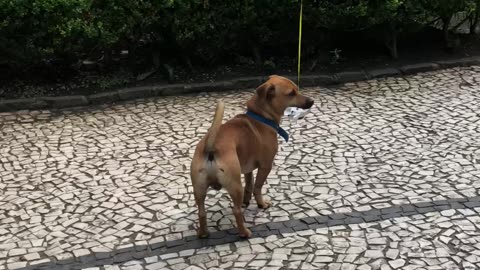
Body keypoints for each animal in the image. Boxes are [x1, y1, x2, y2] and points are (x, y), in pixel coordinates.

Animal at [189, 75, 314, 237]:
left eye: (297, 90)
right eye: (291, 93)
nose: (311, 101)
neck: (260, 116)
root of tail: (210, 147)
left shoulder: (247, 168)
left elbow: (250, 184)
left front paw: (247, 200)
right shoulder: (266, 166)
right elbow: (257, 187)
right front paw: (261, 204)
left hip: (199, 189)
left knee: (202, 212)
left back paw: (203, 233)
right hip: (235, 185)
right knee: (236, 210)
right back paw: (244, 232)